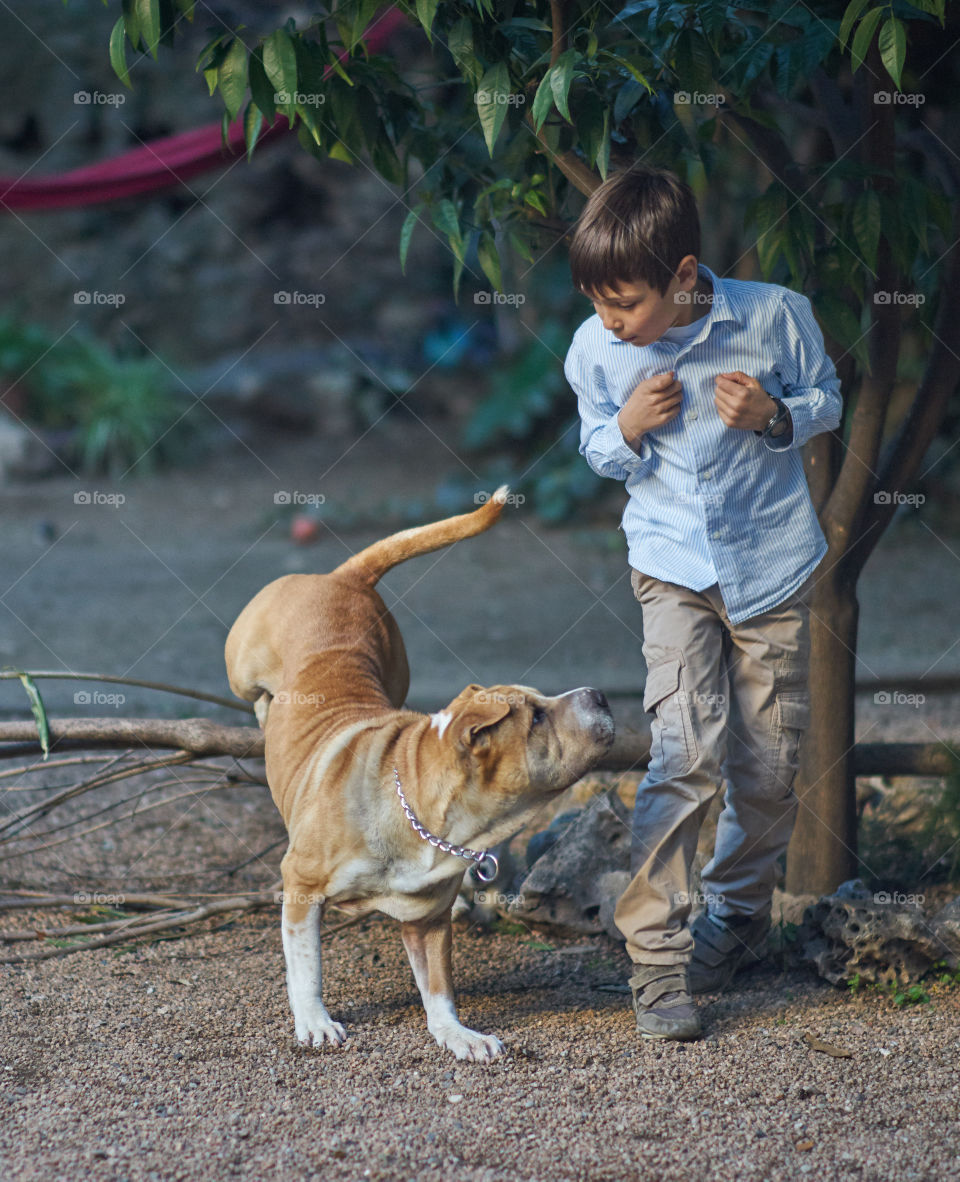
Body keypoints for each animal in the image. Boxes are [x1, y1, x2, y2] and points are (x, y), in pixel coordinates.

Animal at [226, 489, 614, 1063]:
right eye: (537, 718)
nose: (601, 694)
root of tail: (344, 578)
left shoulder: (427, 920)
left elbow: (438, 987)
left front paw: (458, 1034)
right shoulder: (301, 885)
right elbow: (306, 965)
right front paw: (315, 1022)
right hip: (242, 667)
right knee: (251, 692)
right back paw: (264, 713)